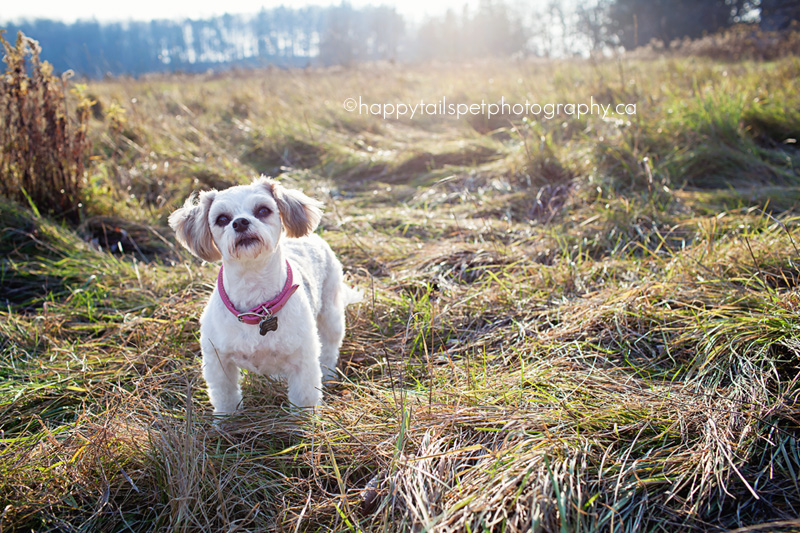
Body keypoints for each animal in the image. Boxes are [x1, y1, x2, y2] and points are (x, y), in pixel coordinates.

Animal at [170, 177, 358, 414]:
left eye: (263, 210)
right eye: (222, 219)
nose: (240, 222)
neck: (255, 298)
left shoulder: (303, 362)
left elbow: (303, 400)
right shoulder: (218, 363)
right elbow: (226, 398)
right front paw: (225, 421)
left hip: (331, 316)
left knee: (330, 348)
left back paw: (329, 375)